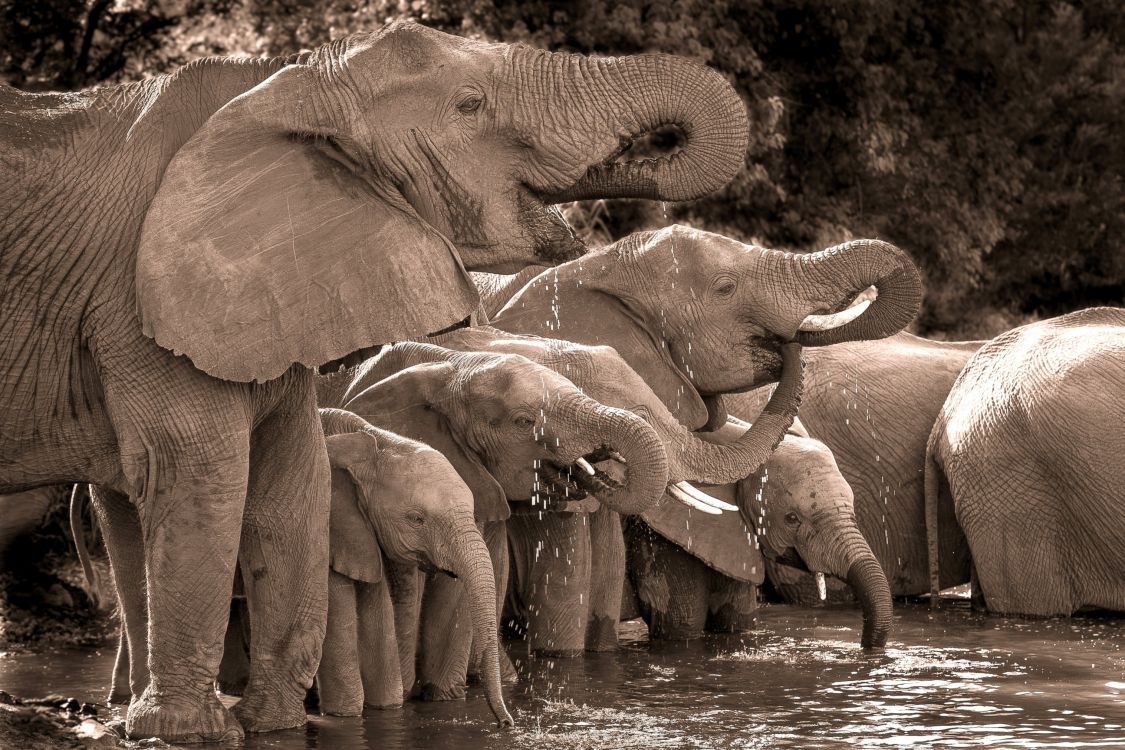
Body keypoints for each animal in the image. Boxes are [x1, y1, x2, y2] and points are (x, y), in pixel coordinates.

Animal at [312, 411, 515, 728]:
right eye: (416, 519)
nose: (506, 723)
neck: (370, 441)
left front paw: (386, 707)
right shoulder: (332, 527)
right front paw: (346, 716)